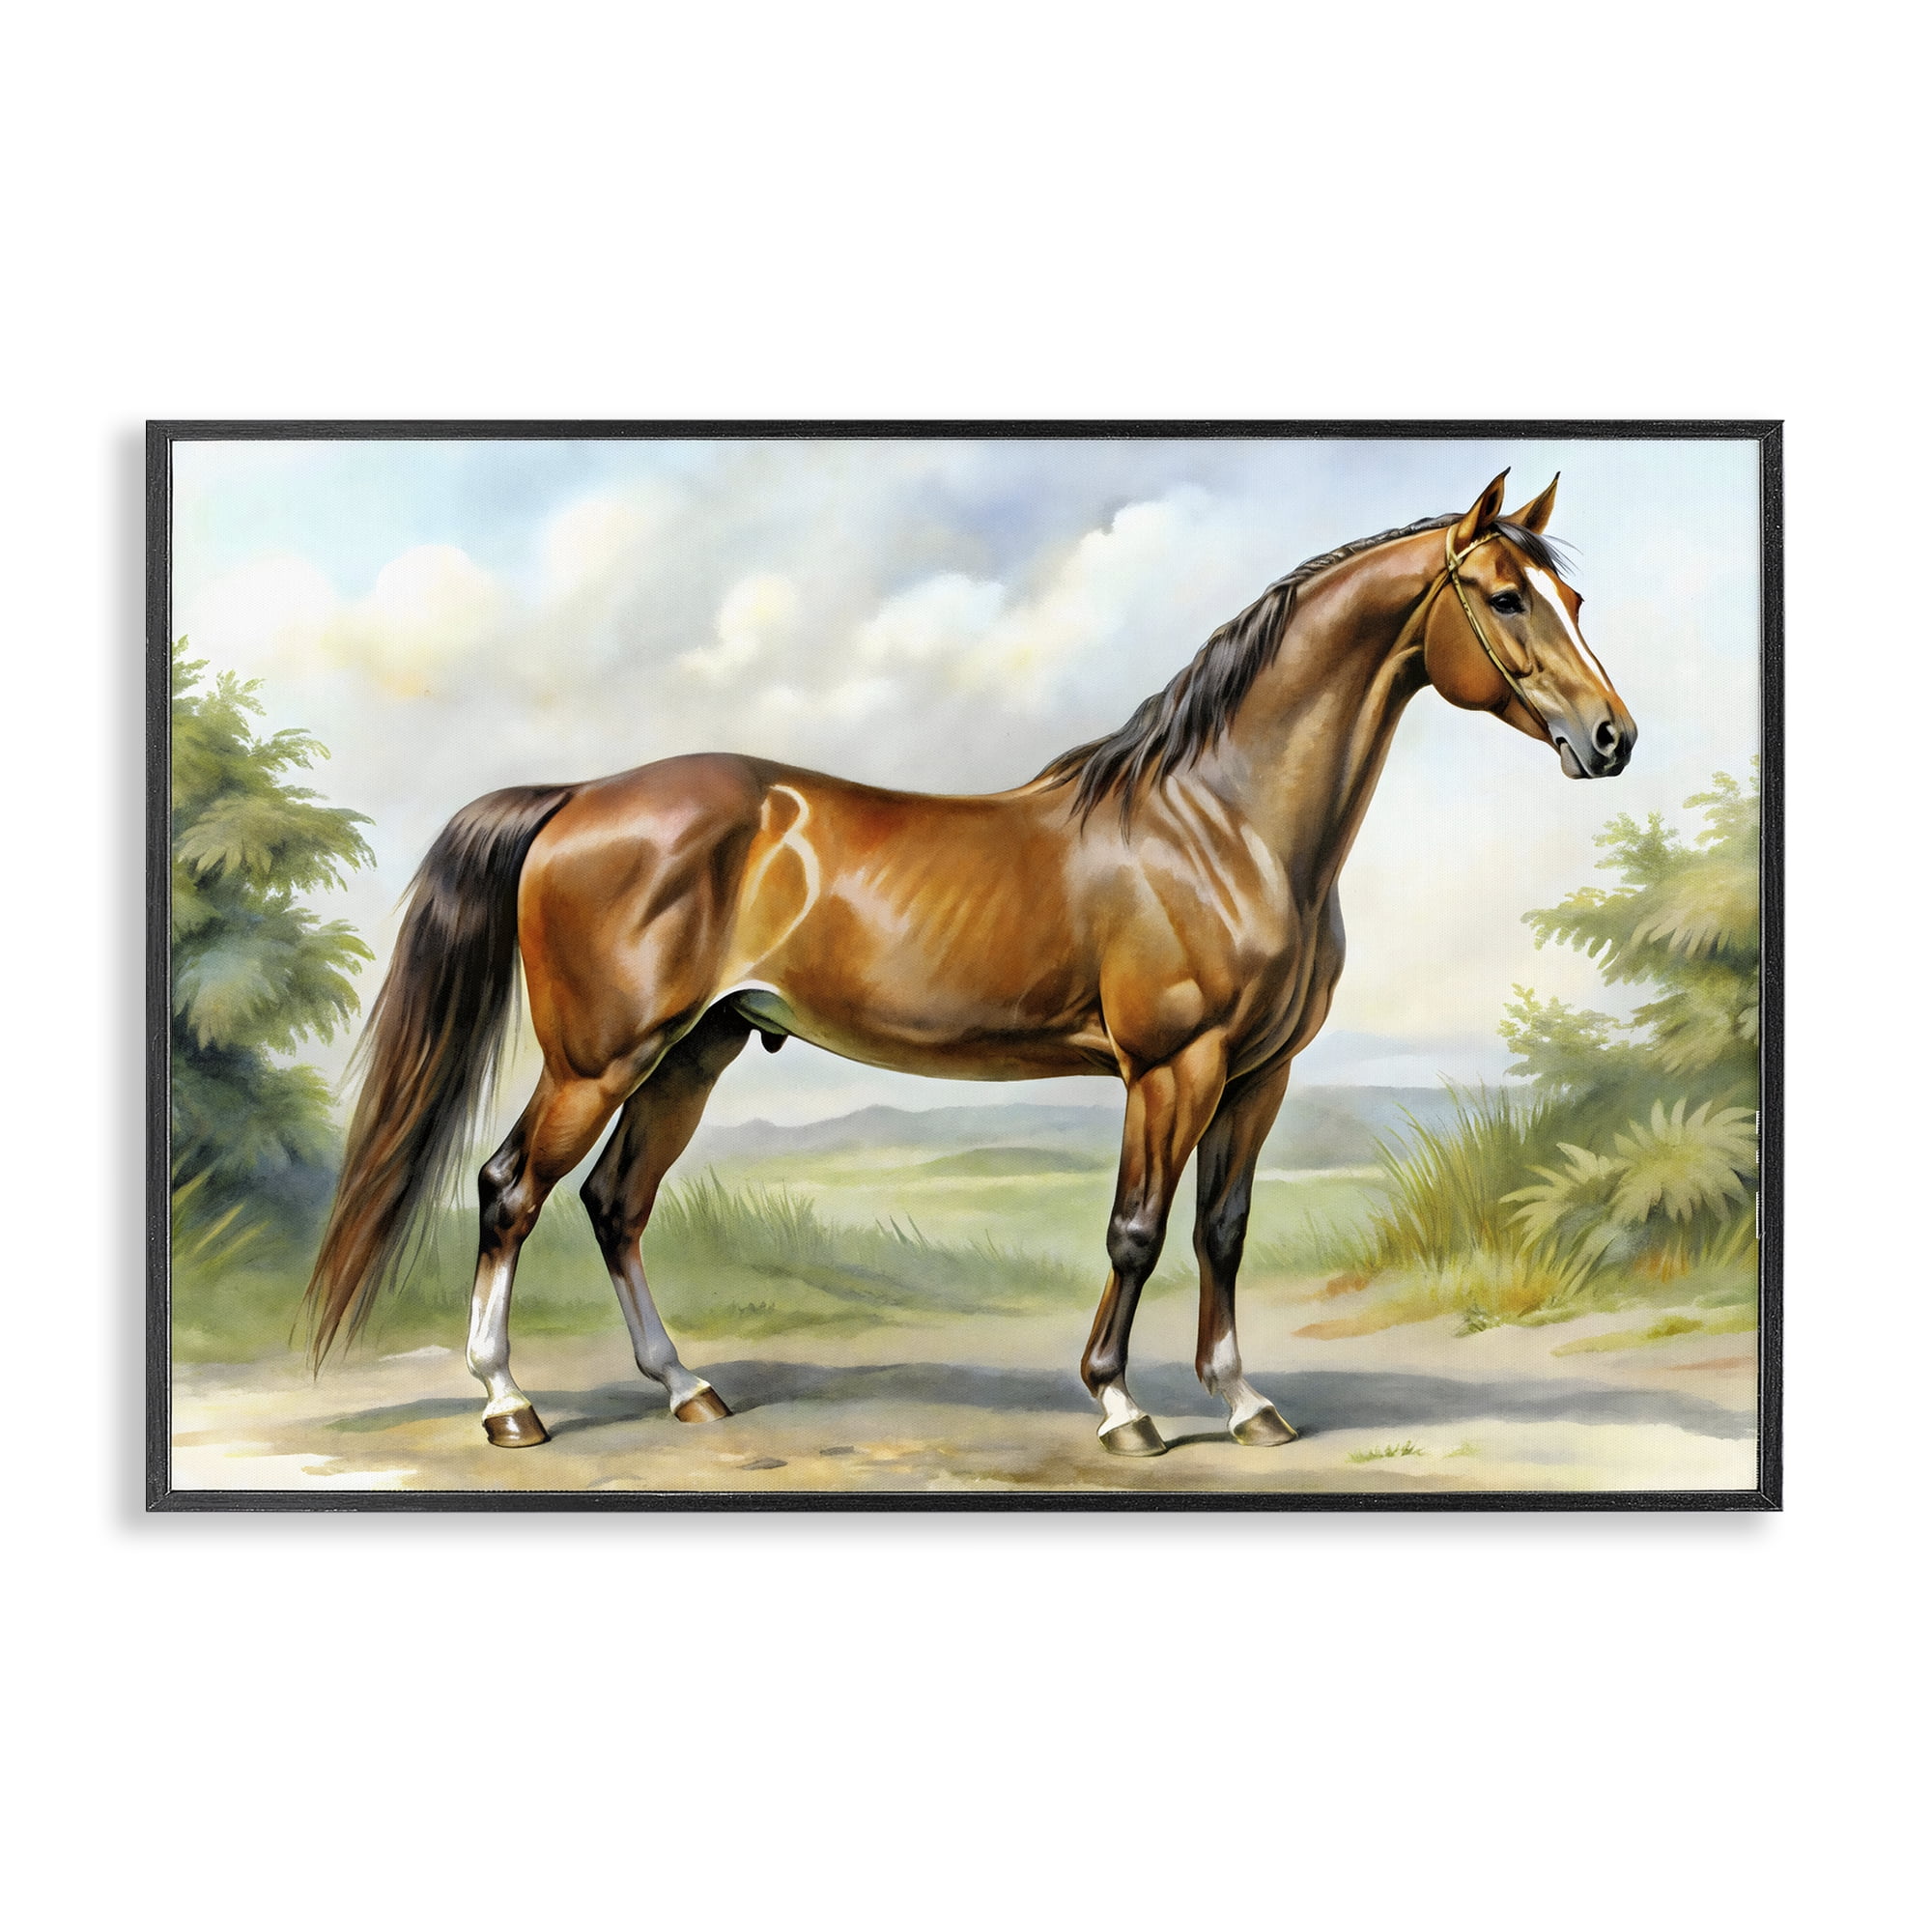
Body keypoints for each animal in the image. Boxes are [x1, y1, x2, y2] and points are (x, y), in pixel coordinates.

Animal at [304, 470, 1634, 1457]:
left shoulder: (1259, 1075)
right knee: (509, 1190)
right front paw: (1120, 1404)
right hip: (599, 1057)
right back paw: (507, 1403)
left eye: (1572, 593)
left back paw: (686, 1386)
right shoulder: (1171, 1066)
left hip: (693, 1052)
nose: (1610, 737)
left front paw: (1246, 1401)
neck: (1222, 822)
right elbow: (1136, 1229)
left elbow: (1223, 1228)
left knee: (614, 1204)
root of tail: (579, 797)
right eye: (1505, 598)